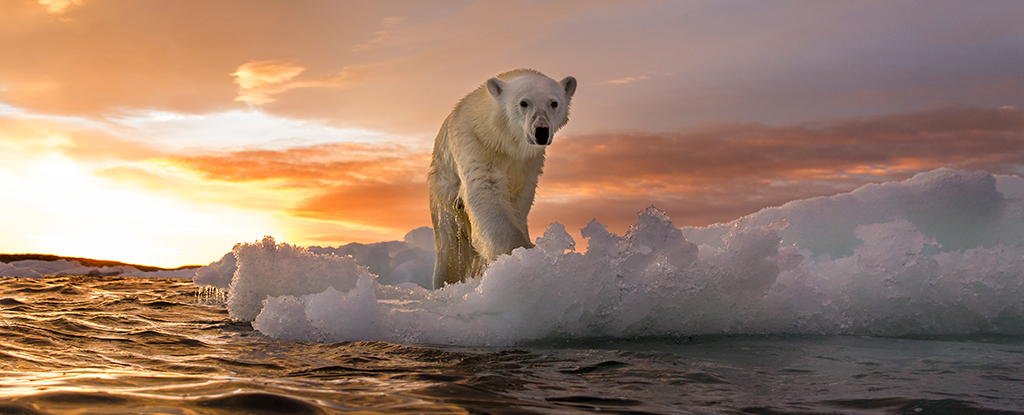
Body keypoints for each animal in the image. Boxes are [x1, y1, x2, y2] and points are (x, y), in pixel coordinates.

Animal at [430, 68, 581, 286]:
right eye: (523, 102)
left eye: (554, 103)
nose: (541, 132)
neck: (503, 140)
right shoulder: (476, 144)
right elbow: (485, 190)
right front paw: (520, 253)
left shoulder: (528, 164)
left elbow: (518, 200)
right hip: (443, 194)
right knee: (450, 249)